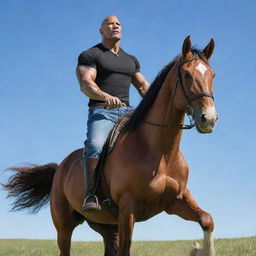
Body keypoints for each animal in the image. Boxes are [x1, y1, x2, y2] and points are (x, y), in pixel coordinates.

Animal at [3, 36, 217, 256]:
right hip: (64, 226)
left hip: (107, 226)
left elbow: (207, 220)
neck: (161, 154)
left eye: (212, 75)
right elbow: (125, 249)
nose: (209, 118)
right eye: (187, 74)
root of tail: (60, 169)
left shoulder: (176, 201)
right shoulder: (128, 209)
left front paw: (198, 248)